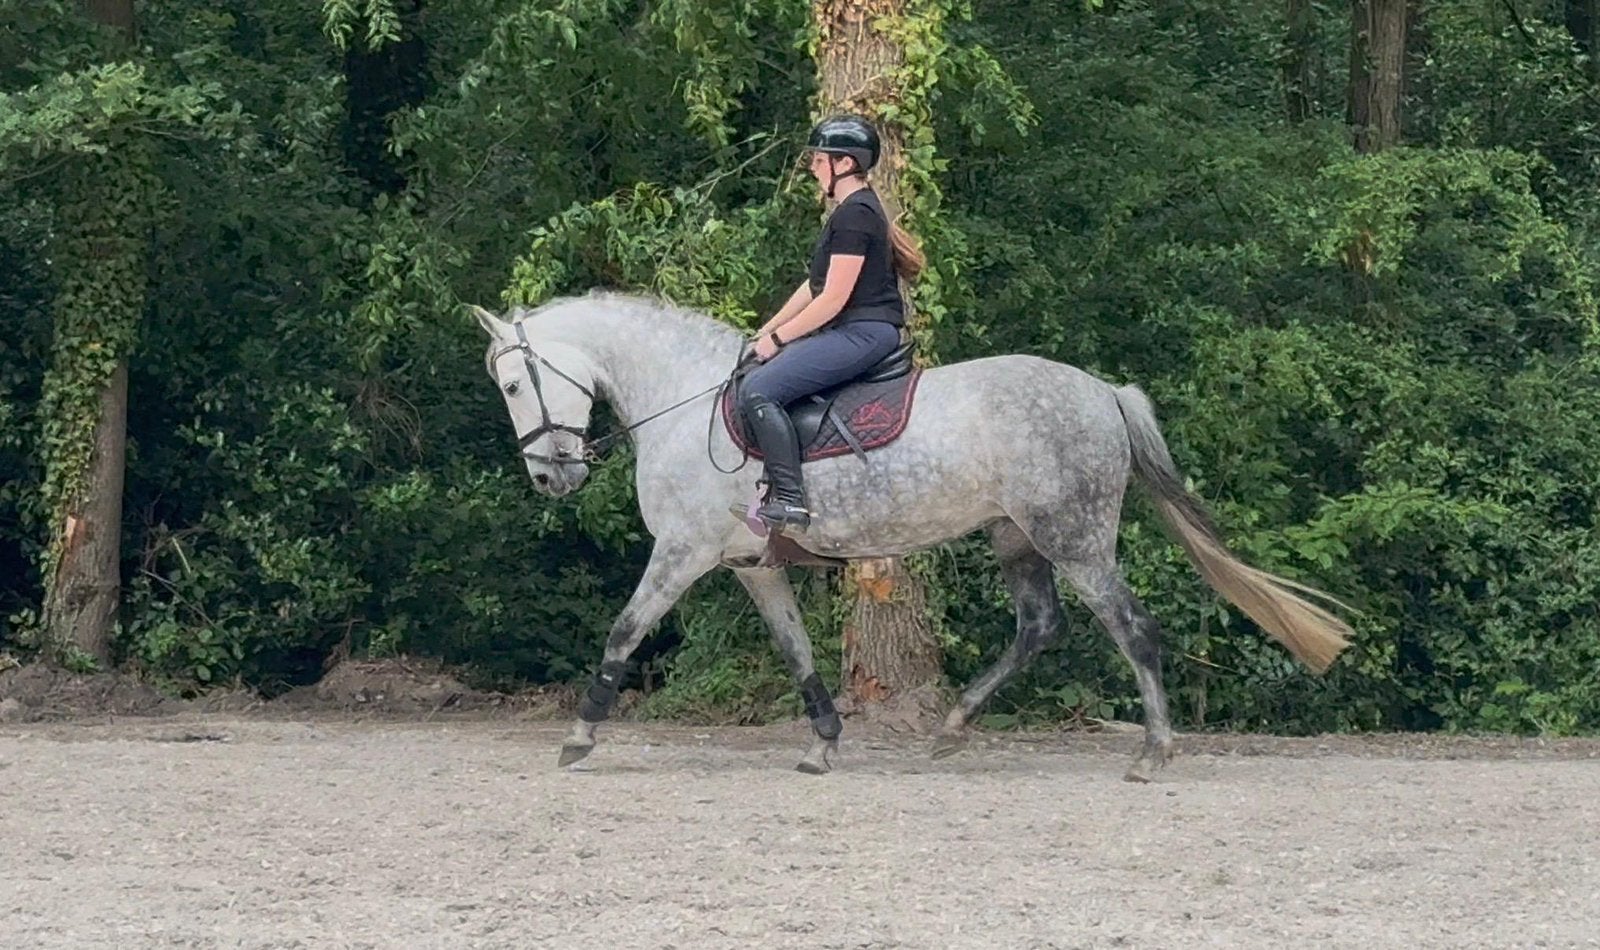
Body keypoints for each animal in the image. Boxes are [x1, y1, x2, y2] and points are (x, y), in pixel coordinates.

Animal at [471, 291, 1351, 782]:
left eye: (513, 382)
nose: (550, 478)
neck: (683, 400)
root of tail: (1104, 391)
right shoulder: (752, 565)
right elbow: (796, 648)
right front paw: (823, 743)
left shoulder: (682, 553)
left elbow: (623, 631)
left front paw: (580, 735)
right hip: (1016, 537)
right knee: (1039, 628)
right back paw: (953, 729)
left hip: (1074, 537)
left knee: (1132, 629)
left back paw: (1152, 753)